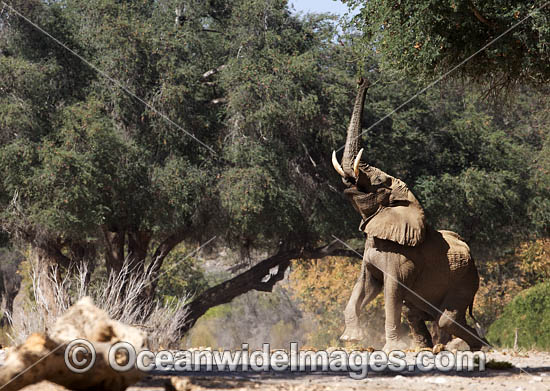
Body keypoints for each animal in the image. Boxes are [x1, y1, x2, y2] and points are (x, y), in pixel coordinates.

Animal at [332, 77, 488, 352]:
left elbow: (392, 292)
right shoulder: (371, 252)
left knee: (445, 318)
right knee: (415, 312)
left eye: (379, 181)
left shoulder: (402, 258)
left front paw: (390, 350)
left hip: (467, 278)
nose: (364, 79)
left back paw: (468, 347)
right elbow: (364, 286)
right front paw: (351, 339)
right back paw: (430, 348)